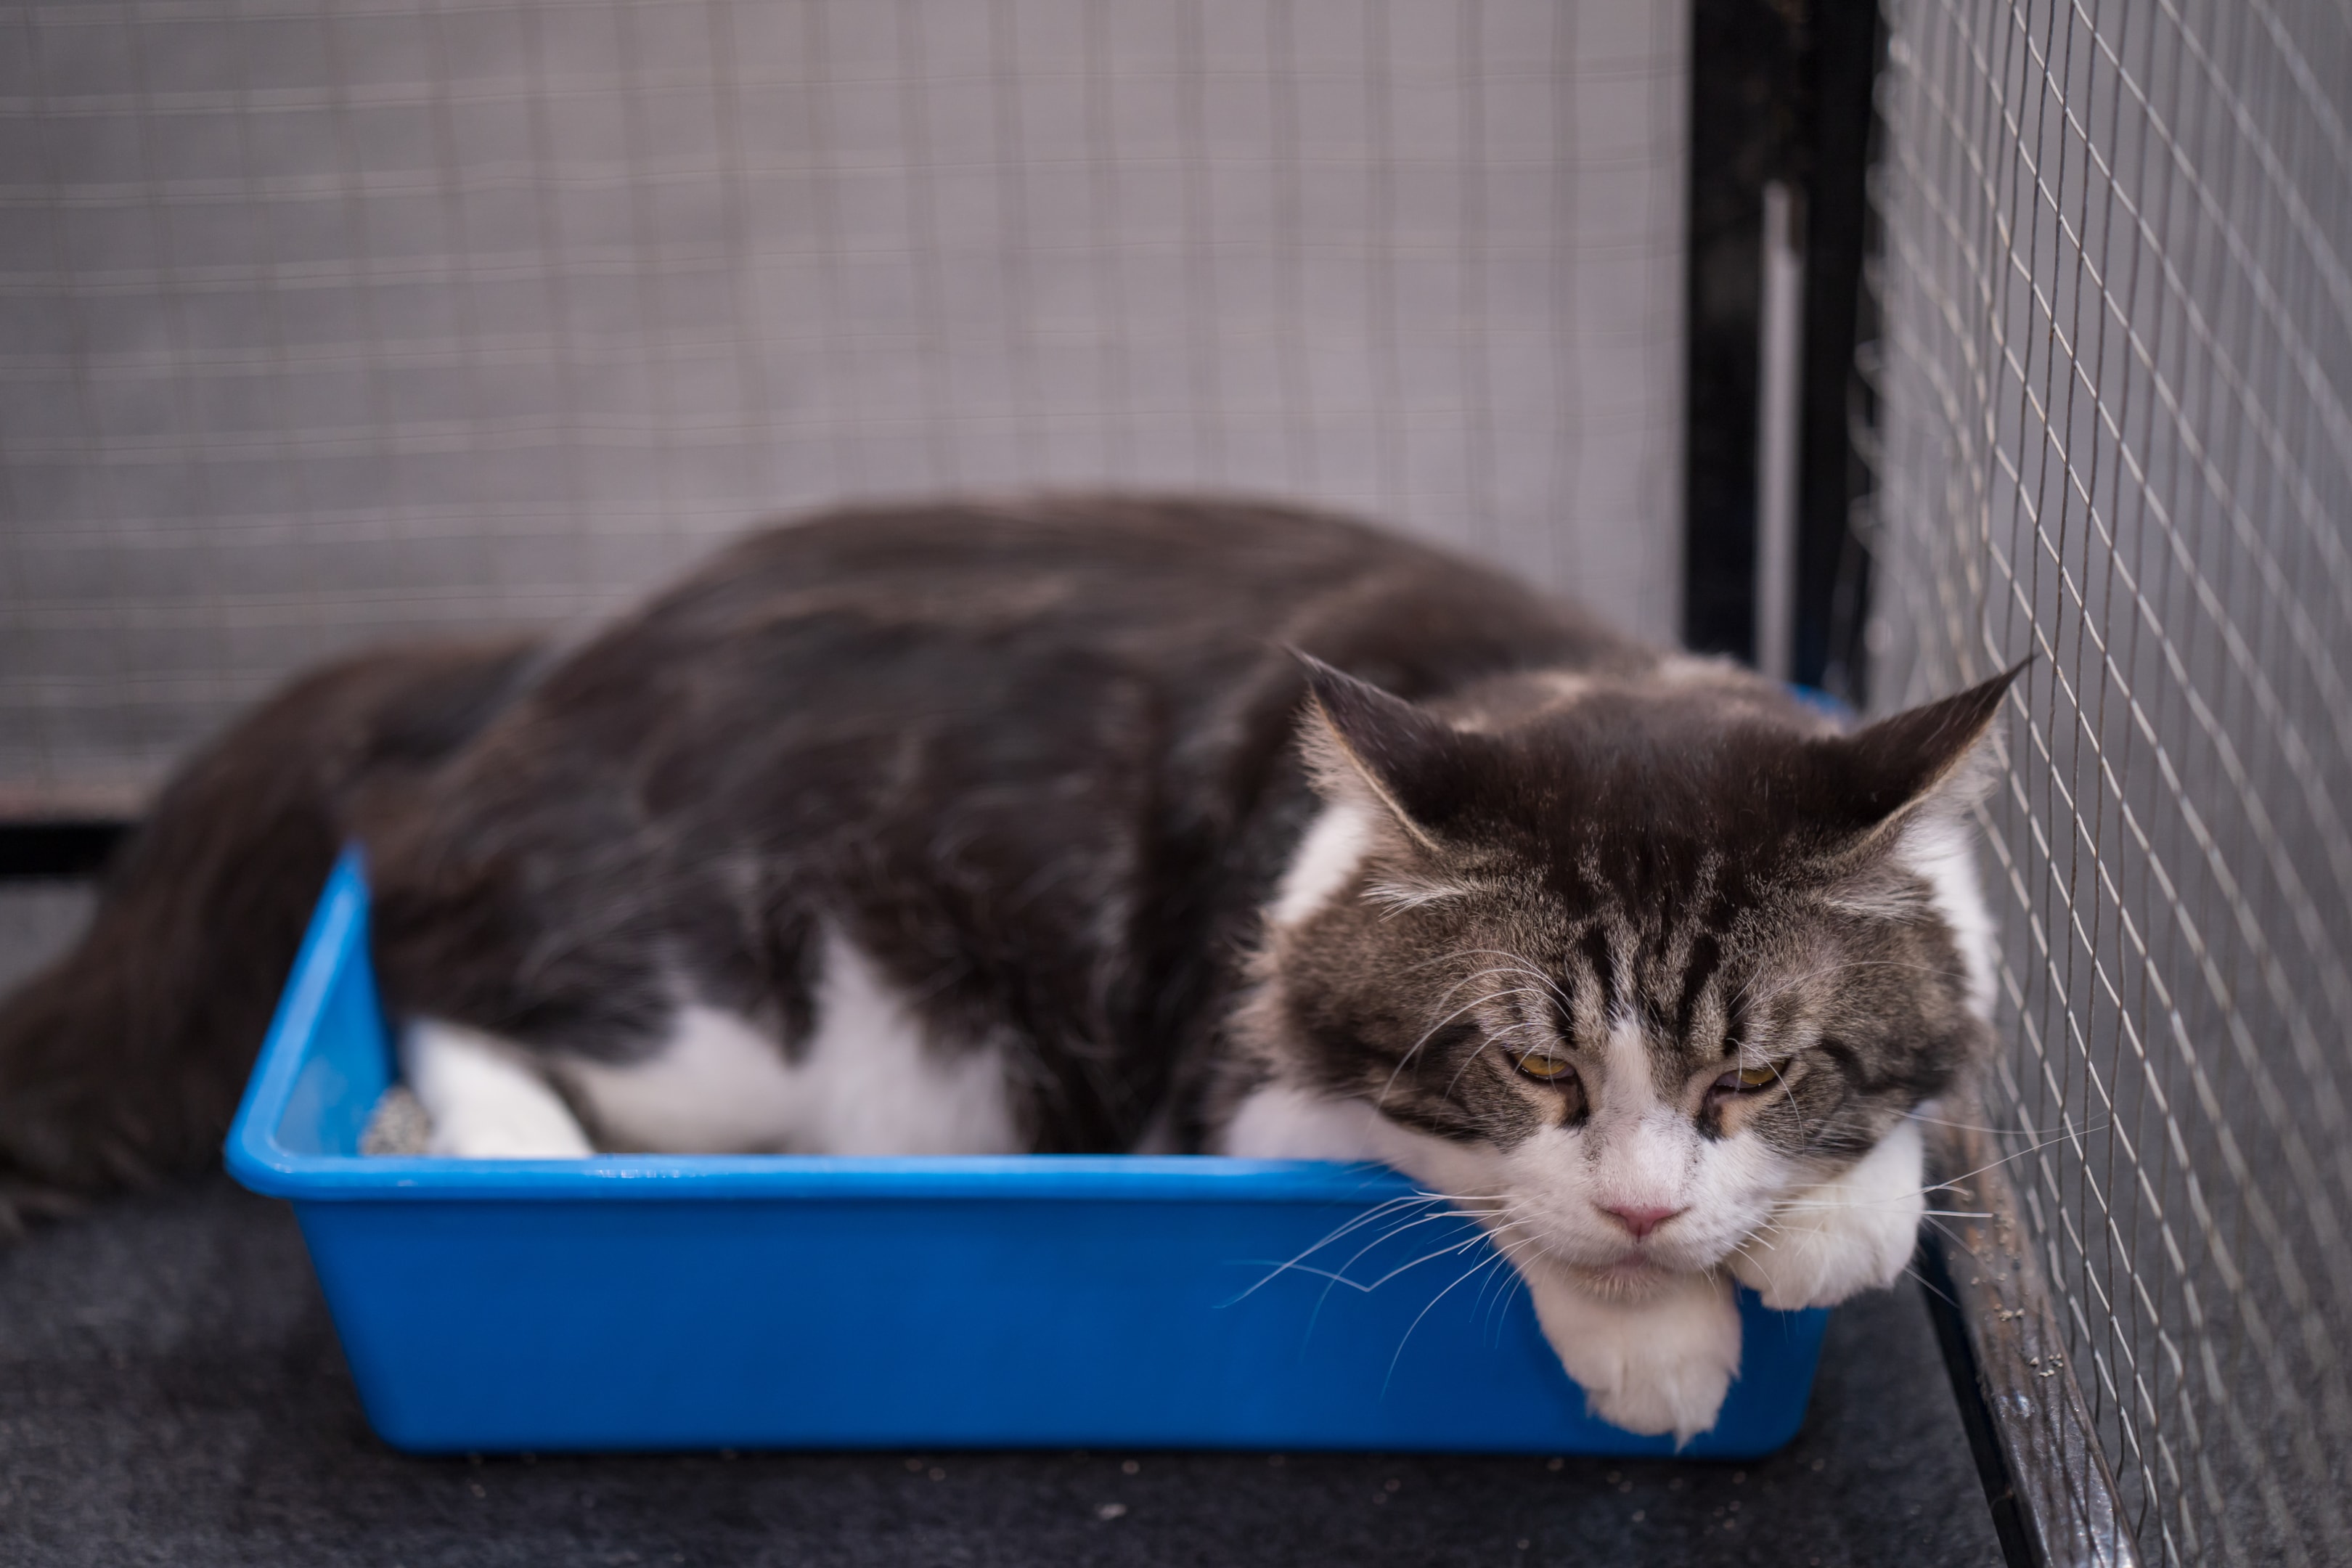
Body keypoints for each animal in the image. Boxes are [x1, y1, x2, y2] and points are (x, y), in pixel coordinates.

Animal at [4, 496, 2022, 1438]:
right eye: (1528, 1065)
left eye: (1752, 1071)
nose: (1647, 1210)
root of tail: (538, 661)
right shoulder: (1231, 1087)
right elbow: (1461, 1186)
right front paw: (1656, 1335)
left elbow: (1911, 1112)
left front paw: (1827, 1222)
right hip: (730, 1016)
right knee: (423, 945)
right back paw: (486, 1149)